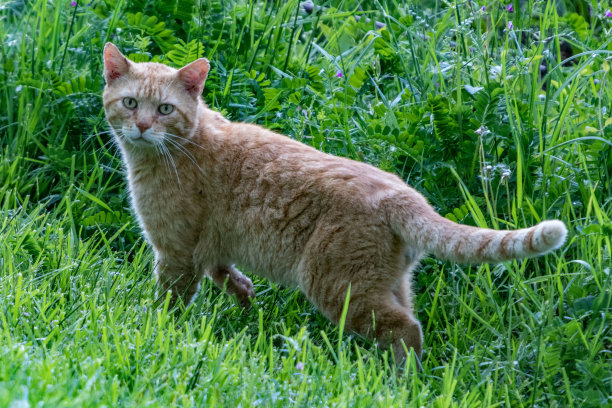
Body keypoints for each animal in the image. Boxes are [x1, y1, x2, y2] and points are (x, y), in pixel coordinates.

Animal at [103, 43, 568, 362]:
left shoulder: (176, 253)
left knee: (406, 329)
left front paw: (157, 329)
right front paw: (243, 293)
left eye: (165, 109)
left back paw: (399, 383)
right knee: (407, 319)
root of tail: (404, 194)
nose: (142, 126)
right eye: (130, 103)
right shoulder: (207, 245)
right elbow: (224, 273)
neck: (178, 146)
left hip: (337, 286)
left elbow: (169, 301)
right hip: (387, 283)